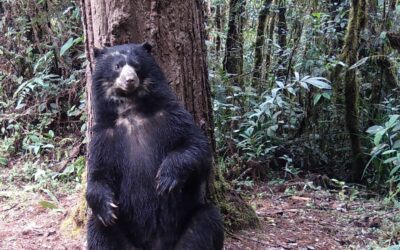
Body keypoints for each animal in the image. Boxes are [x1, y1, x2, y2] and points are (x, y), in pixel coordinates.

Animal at [87, 43, 223, 250]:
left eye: (136, 64)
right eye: (117, 66)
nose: (130, 80)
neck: (132, 108)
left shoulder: (171, 116)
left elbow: (197, 147)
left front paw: (166, 179)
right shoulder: (104, 136)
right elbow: (98, 173)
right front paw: (107, 208)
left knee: (208, 220)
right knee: (98, 228)